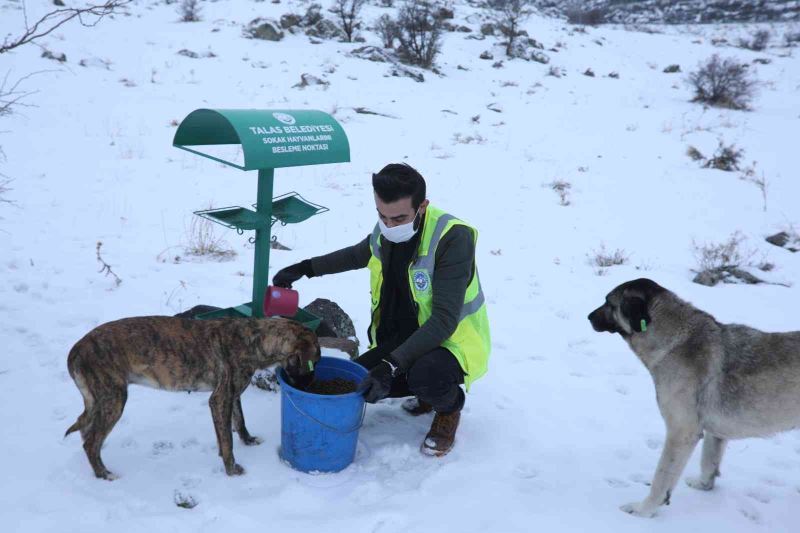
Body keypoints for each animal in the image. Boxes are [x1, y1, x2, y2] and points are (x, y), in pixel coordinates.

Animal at [65, 314, 320, 480]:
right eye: (313, 362)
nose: (311, 387)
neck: (255, 340)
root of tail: (76, 350)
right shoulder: (220, 399)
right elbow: (227, 439)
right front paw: (231, 469)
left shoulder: (232, 395)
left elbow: (238, 421)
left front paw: (247, 440)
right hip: (114, 399)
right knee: (91, 442)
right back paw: (103, 474)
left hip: (99, 400)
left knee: (86, 432)